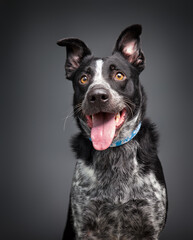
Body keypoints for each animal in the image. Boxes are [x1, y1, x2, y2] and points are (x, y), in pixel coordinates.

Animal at [57, 24, 167, 240]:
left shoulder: (150, 226)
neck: (115, 152)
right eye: (84, 79)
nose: (97, 95)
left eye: (119, 75)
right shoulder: (83, 225)